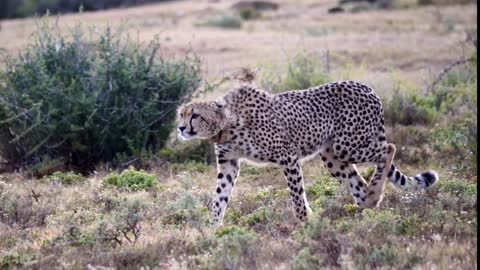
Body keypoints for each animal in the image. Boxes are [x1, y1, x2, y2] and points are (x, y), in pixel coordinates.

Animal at [176, 81, 438, 226]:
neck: (227, 125)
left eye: (195, 115)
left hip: (349, 144)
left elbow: (297, 195)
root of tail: (368, 88)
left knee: (388, 149)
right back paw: (367, 203)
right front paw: (211, 229)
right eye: (181, 114)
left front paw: (304, 223)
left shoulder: (288, 157)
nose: (180, 128)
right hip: (332, 155)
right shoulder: (229, 163)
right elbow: (219, 197)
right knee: (358, 183)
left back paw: (374, 195)